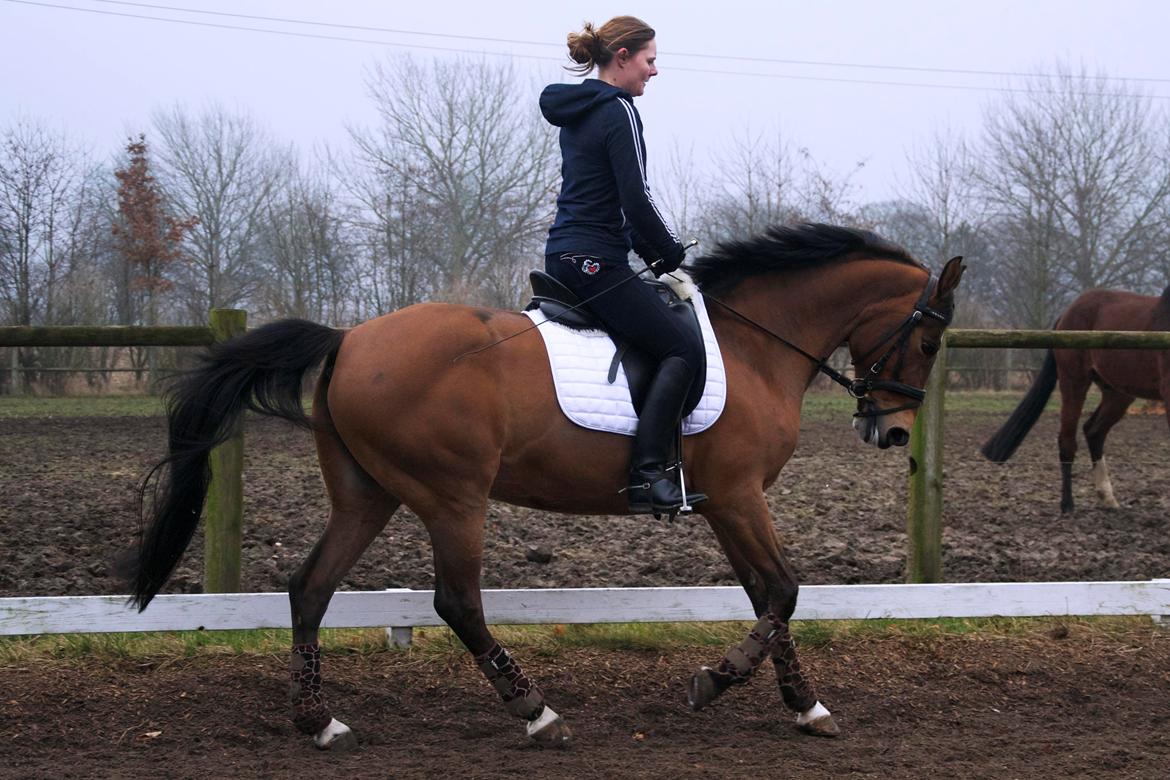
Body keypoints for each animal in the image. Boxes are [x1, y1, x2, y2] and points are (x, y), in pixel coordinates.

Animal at [125, 222, 965, 750]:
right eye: (929, 340)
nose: (891, 431)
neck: (755, 344)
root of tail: (350, 339)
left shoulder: (728, 504)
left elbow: (770, 597)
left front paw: (806, 707)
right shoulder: (736, 496)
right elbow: (784, 593)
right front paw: (713, 683)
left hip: (368, 494)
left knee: (310, 588)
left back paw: (320, 723)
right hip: (454, 498)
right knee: (456, 603)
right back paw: (536, 714)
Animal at [981, 287, 1170, 513]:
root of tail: (1066, 314)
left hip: (1117, 393)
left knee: (1093, 430)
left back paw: (1107, 498)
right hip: (1074, 381)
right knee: (1068, 440)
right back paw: (1068, 505)